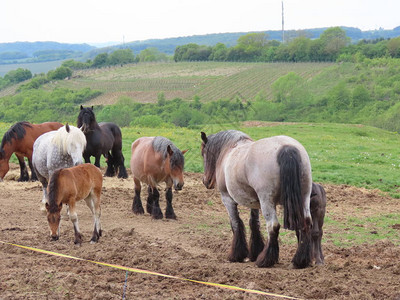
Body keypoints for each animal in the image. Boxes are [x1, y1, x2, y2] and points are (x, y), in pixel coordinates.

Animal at [202, 130, 314, 268]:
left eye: (203, 153)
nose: (206, 181)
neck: (230, 148)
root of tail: (286, 148)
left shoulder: (227, 199)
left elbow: (236, 223)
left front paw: (237, 255)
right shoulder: (254, 202)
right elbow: (254, 223)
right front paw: (254, 252)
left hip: (267, 200)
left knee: (273, 226)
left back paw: (265, 260)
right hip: (304, 197)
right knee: (306, 223)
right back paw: (300, 260)